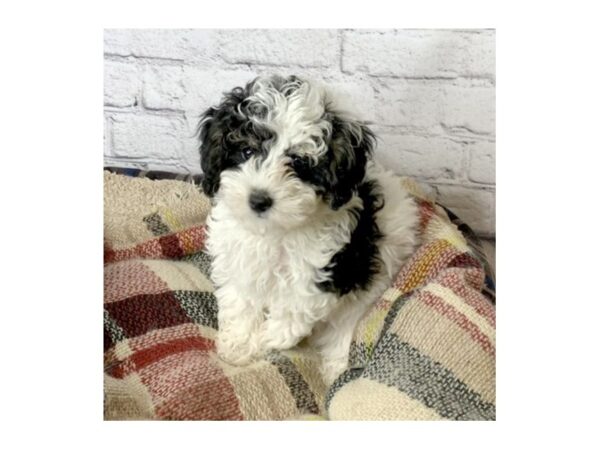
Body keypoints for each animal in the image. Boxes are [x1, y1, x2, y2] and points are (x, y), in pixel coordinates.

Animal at [197, 74, 418, 384]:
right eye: (247, 150)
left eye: (299, 163)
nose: (259, 200)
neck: (276, 231)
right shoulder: (239, 259)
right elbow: (242, 301)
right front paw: (239, 345)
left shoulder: (328, 267)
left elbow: (294, 307)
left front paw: (269, 339)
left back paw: (337, 367)